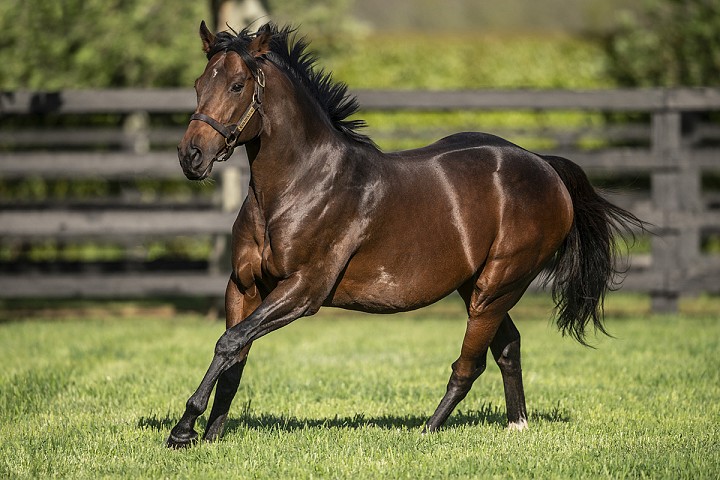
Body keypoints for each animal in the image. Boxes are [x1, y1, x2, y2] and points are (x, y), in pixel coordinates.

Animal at [167, 18, 640, 446]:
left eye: (237, 85)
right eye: (198, 83)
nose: (191, 156)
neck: (300, 184)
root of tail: (545, 166)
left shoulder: (304, 290)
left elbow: (228, 343)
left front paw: (183, 429)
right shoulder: (243, 286)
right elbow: (235, 356)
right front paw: (211, 435)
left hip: (498, 285)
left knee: (470, 365)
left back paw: (427, 431)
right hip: (476, 284)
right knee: (508, 346)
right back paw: (516, 426)